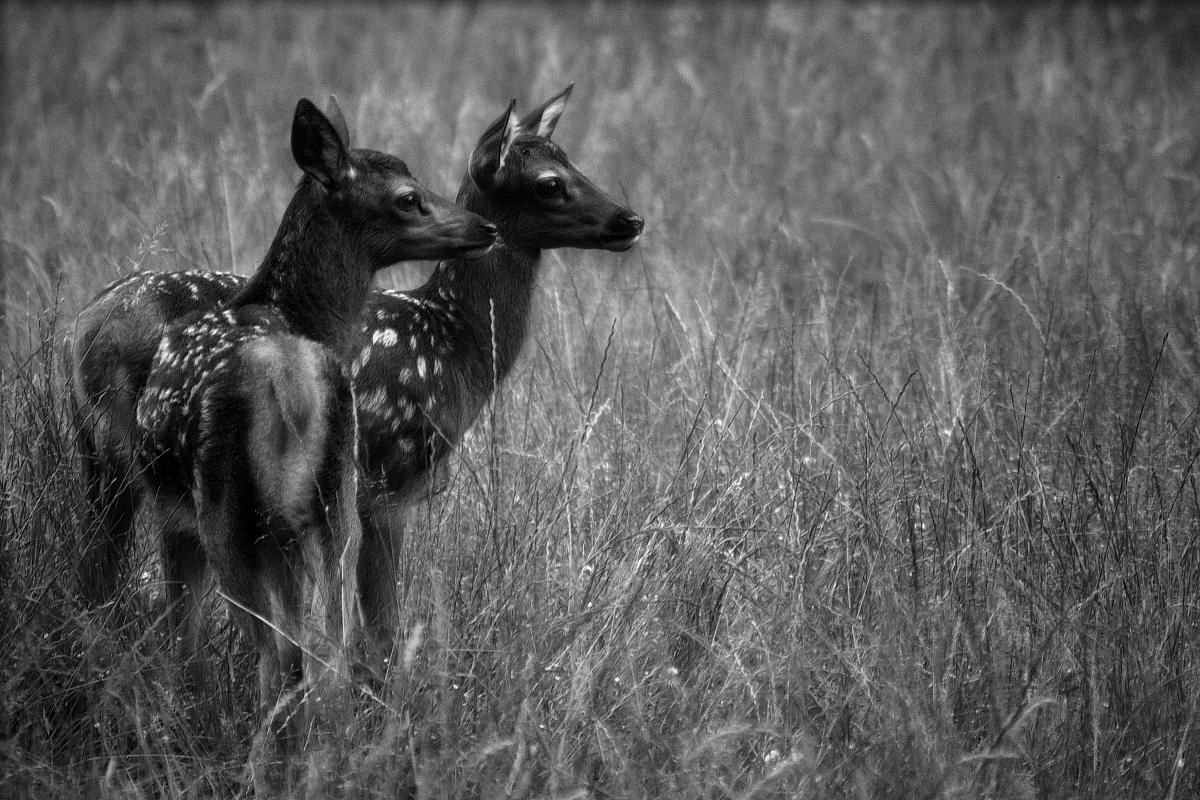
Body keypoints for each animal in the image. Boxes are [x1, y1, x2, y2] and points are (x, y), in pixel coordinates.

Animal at [125, 95, 492, 782]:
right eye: (408, 197)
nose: (483, 225)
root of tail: (290, 380)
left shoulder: (179, 515)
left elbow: (184, 631)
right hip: (331, 500)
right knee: (329, 645)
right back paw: (328, 754)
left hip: (229, 509)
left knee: (281, 653)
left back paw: (260, 767)